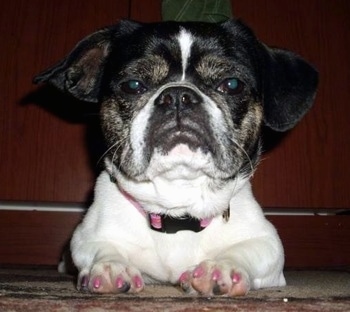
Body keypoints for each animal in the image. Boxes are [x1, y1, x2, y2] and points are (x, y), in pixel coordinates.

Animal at [34, 18, 318, 296]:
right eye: (133, 85)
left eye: (232, 84)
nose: (178, 96)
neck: (178, 209)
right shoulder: (86, 237)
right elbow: (101, 247)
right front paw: (110, 268)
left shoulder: (268, 247)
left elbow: (247, 251)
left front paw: (221, 268)